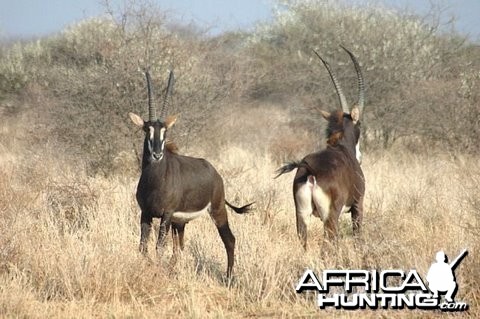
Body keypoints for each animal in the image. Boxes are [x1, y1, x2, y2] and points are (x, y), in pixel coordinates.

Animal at [129, 70, 253, 280]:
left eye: (165, 130)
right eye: (147, 129)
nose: (157, 155)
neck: (154, 181)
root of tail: (214, 173)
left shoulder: (166, 214)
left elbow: (159, 247)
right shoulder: (146, 213)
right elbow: (143, 248)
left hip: (217, 210)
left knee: (229, 239)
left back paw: (229, 277)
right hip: (180, 223)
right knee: (179, 249)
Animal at [276, 46, 366, 250]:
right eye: (360, 125)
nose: (360, 156)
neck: (341, 147)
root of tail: (311, 171)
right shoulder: (358, 204)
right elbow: (357, 235)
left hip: (301, 215)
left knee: (303, 242)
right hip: (330, 216)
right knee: (329, 243)